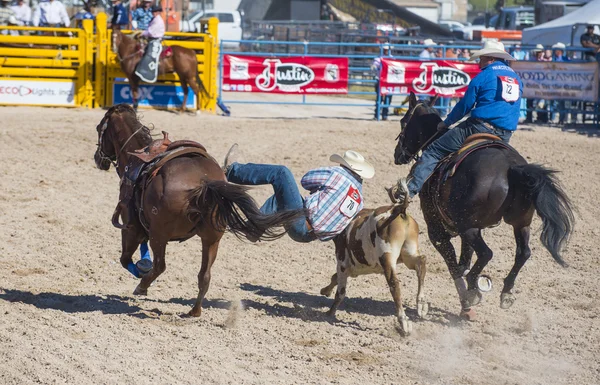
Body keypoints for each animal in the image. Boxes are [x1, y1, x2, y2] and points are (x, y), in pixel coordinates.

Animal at [94, 103, 304, 316]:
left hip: (160, 236)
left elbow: (125, 258)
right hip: (211, 239)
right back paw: (194, 312)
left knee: (161, 266)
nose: (97, 159)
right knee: (205, 275)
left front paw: (141, 271)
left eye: (98, 128)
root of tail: (204, 183)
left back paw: (142, 286)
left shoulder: (131, 226)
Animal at [392, 92, 576, 318]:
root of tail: (511, 167)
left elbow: (454, 265)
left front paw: (466, 301)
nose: (397, 154)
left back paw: (474, 288)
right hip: (520, 223)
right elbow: (464, 259)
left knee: (487, 253)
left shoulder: (437, 230)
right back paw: (505, 293)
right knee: (523, 253)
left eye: (403, 121)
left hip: (469, 227)